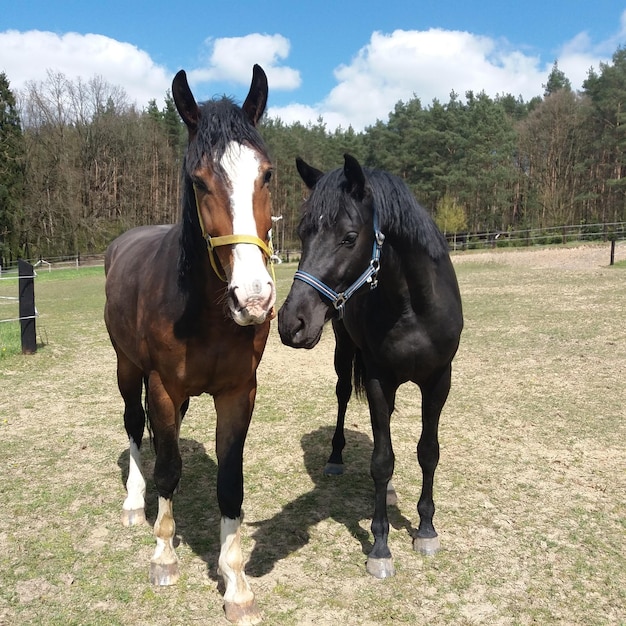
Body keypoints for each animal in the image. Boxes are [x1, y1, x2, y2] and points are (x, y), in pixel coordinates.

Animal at [103, 63, 274, 620]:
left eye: (266, 174)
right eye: (199, 181)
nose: (254, 298)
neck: (205, 311)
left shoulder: (238, 393)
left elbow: (229, 483)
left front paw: (235, 583)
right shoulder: (160, 386)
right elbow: (168, 469)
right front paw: (163, 554)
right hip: (127, 369)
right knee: (136, 430)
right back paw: (134, 503)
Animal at [278, 154, 464, 576]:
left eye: (349, 237)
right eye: (302, 233)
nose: (291, 322)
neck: (413, 309)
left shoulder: (438, 380)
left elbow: (428, 451)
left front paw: (426, 530)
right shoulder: (380, 379)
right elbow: (382, 460)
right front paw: (380, 546)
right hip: (344, 351)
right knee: (344, 395)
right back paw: (335, 458)